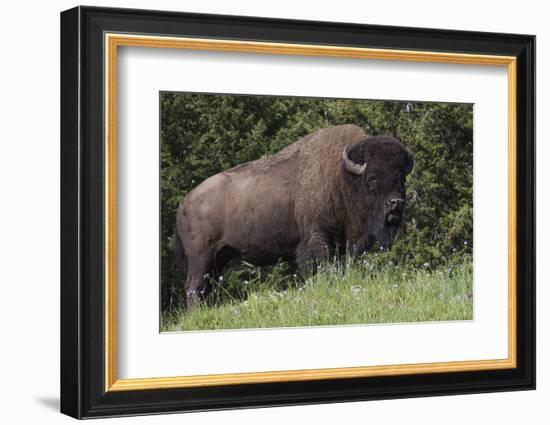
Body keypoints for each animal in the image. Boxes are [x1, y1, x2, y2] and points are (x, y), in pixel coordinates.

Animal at [177, 123, 414, 308]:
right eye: (372, 178)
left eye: (401, 178)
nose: (396, 203)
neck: (341, 176)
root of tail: (184, 203)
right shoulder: (318, 236)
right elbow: (319, 265)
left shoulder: (342, 242)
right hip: (201, 257)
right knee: (193, 287)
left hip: (218, 258)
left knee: (205, 287)